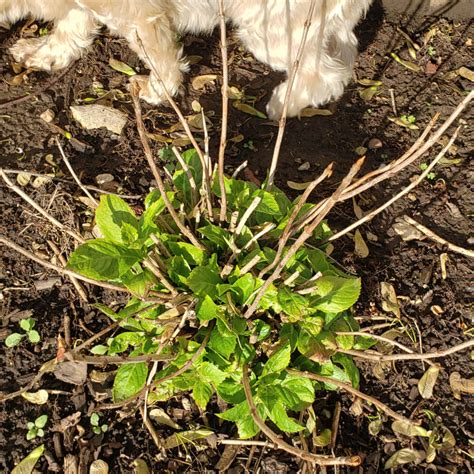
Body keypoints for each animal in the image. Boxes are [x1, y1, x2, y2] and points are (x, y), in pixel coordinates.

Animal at [1, 0, 372, 118]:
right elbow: (71, 29)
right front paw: (43, 54)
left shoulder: (140, 16)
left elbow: (160, 58)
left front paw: (157, 90)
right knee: (345, 51)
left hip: (268, 31)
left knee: (325, 75)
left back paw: (284, 105)